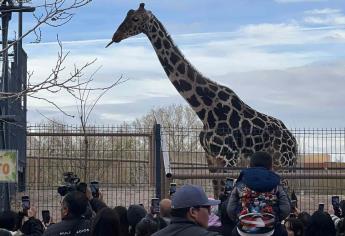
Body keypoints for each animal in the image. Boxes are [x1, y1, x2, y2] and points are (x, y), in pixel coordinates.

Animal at [107, 2, 296, 196]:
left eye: (135, 18)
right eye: (127, 15)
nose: (116, 36)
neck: (204, 110)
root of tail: (293, 139)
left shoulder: (229, 158)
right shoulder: (211, 159)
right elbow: (217, 195)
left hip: (284, 163)